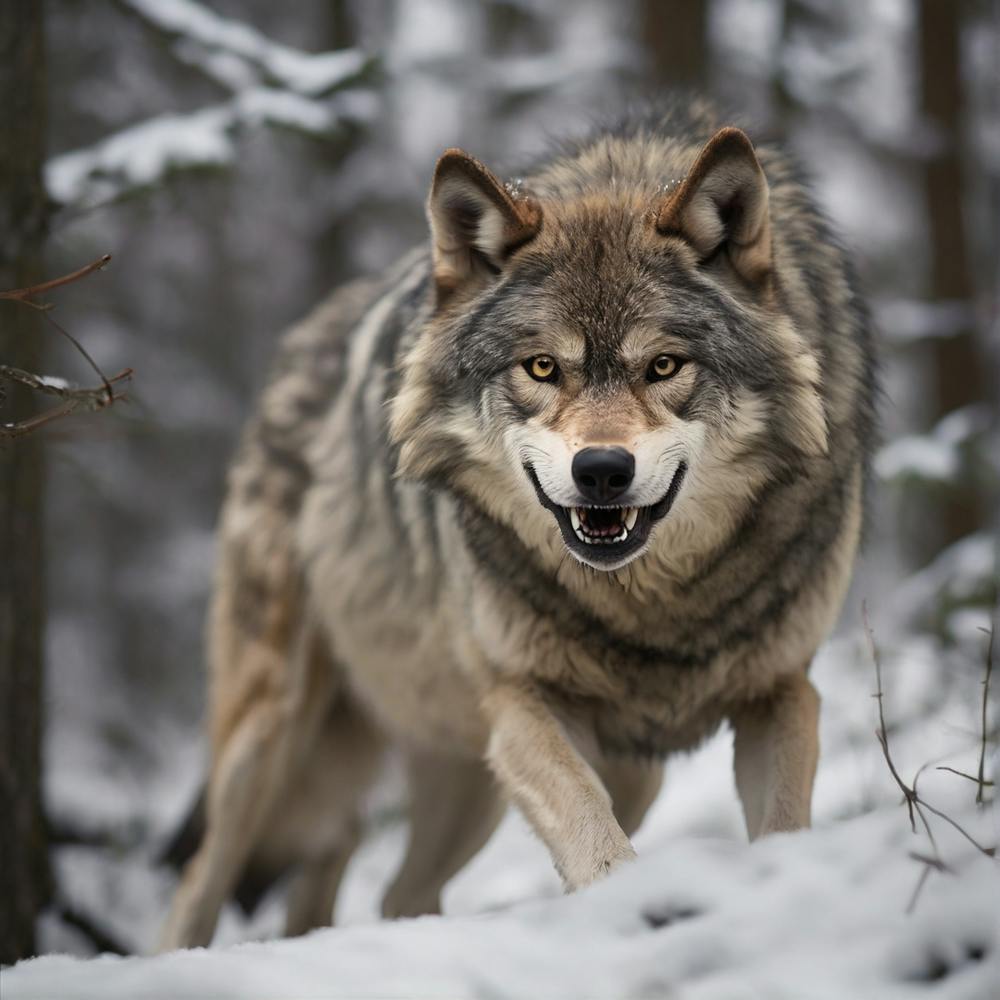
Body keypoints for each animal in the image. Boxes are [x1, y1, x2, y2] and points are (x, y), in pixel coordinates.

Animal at [160, 99, 877, 949]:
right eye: (542, 368)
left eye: (664, 367)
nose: (602, 470)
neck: (653, 607)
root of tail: (299, 343)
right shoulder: (523, 704)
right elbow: (592, 836)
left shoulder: (782, 690)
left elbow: (783, 826)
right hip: (269, 734)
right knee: (203, 883)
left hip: (548, 773)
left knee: (387, 887)